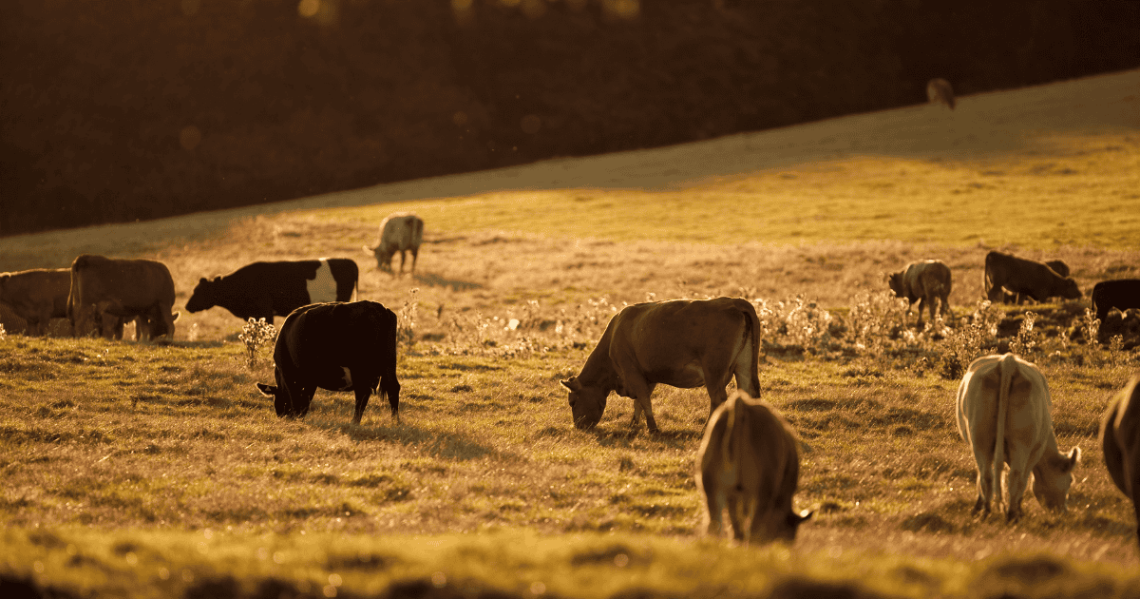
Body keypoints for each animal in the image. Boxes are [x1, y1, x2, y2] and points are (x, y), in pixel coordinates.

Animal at [255, 301, 401, 425]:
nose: (283, 417)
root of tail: (379, 308)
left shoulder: (292, 377)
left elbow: (298, 399)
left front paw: (298, 419)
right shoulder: (310, 380)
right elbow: (305, 400)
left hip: (360, 369)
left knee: (362, 393)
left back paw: (354, 423)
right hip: (389, 363)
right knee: (393, 388)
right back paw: (395, 422)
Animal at [560, 297, 761, 434]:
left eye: (572, 402)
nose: (578, 427)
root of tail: (733, 301)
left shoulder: (632, 371)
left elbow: (643, 400)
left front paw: (653, 429)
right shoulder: (648, 376)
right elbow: (639, 402)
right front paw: (633, 425)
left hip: (714, 373)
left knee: (718, 399)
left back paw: (707, 430)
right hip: (743, 367)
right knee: (747, 394)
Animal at [956, 353, 1080, 522]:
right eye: (1070, 480)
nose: (1063, 512)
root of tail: (1008, 360)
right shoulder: (1035, 452)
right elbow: (1025, 479)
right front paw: (1019, 509)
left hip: (980, 439)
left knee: (987, 475)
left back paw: (986, 512)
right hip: (1021, 444)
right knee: (1016, 476)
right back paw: (1012, 515)